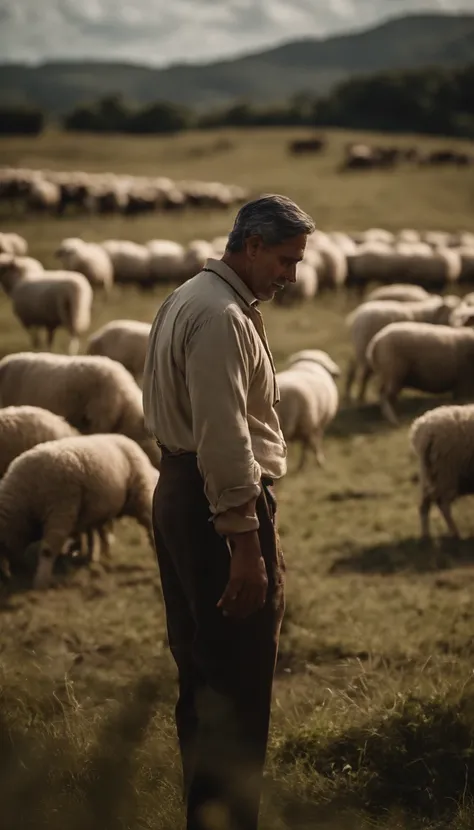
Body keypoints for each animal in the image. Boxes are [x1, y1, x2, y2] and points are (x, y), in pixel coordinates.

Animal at [0, 436, 159, 592]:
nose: (6, 580)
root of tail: (128, 440)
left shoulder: (60, 513)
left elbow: (47, 550)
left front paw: (41, 582)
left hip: (140, 495)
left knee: (149, 525)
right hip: (99, 507)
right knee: (99, 532)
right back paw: (99, 555)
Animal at [410, 406, 474, 544]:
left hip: (429, 473)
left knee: (425, 505)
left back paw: (426, 536)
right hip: (446, 473)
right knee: (443, 505)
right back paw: (455, 534)